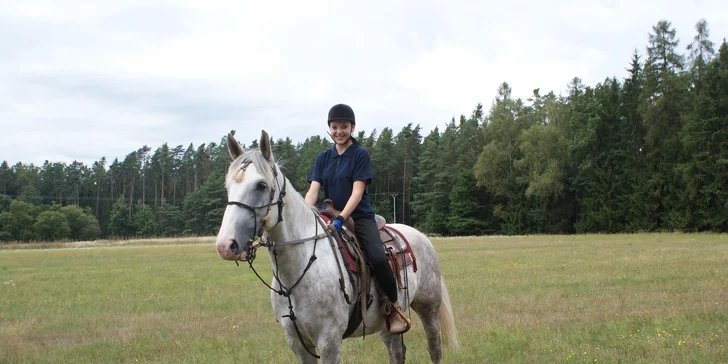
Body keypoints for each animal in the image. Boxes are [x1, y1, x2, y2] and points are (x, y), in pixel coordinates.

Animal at [213, 131, 458, 364]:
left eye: (261, 185)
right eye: (227, 186)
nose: (226, 245)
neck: (299, 271)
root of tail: (421, 236)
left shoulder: (329, 340)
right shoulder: (297, 342)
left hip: (429, 308)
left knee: (434, 349)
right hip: (387, 323)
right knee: (396, 351)